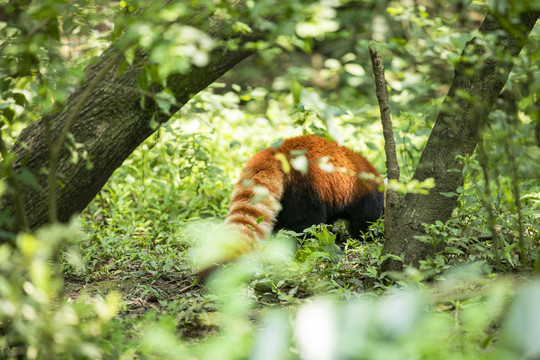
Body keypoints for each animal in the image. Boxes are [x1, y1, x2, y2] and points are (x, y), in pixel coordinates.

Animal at [224, 134, 384, 252]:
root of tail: (280, 150)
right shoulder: (365, 198)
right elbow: (366, 222)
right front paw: (371, 236)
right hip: (306, 188)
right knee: (306, 222)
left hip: (287, 195)